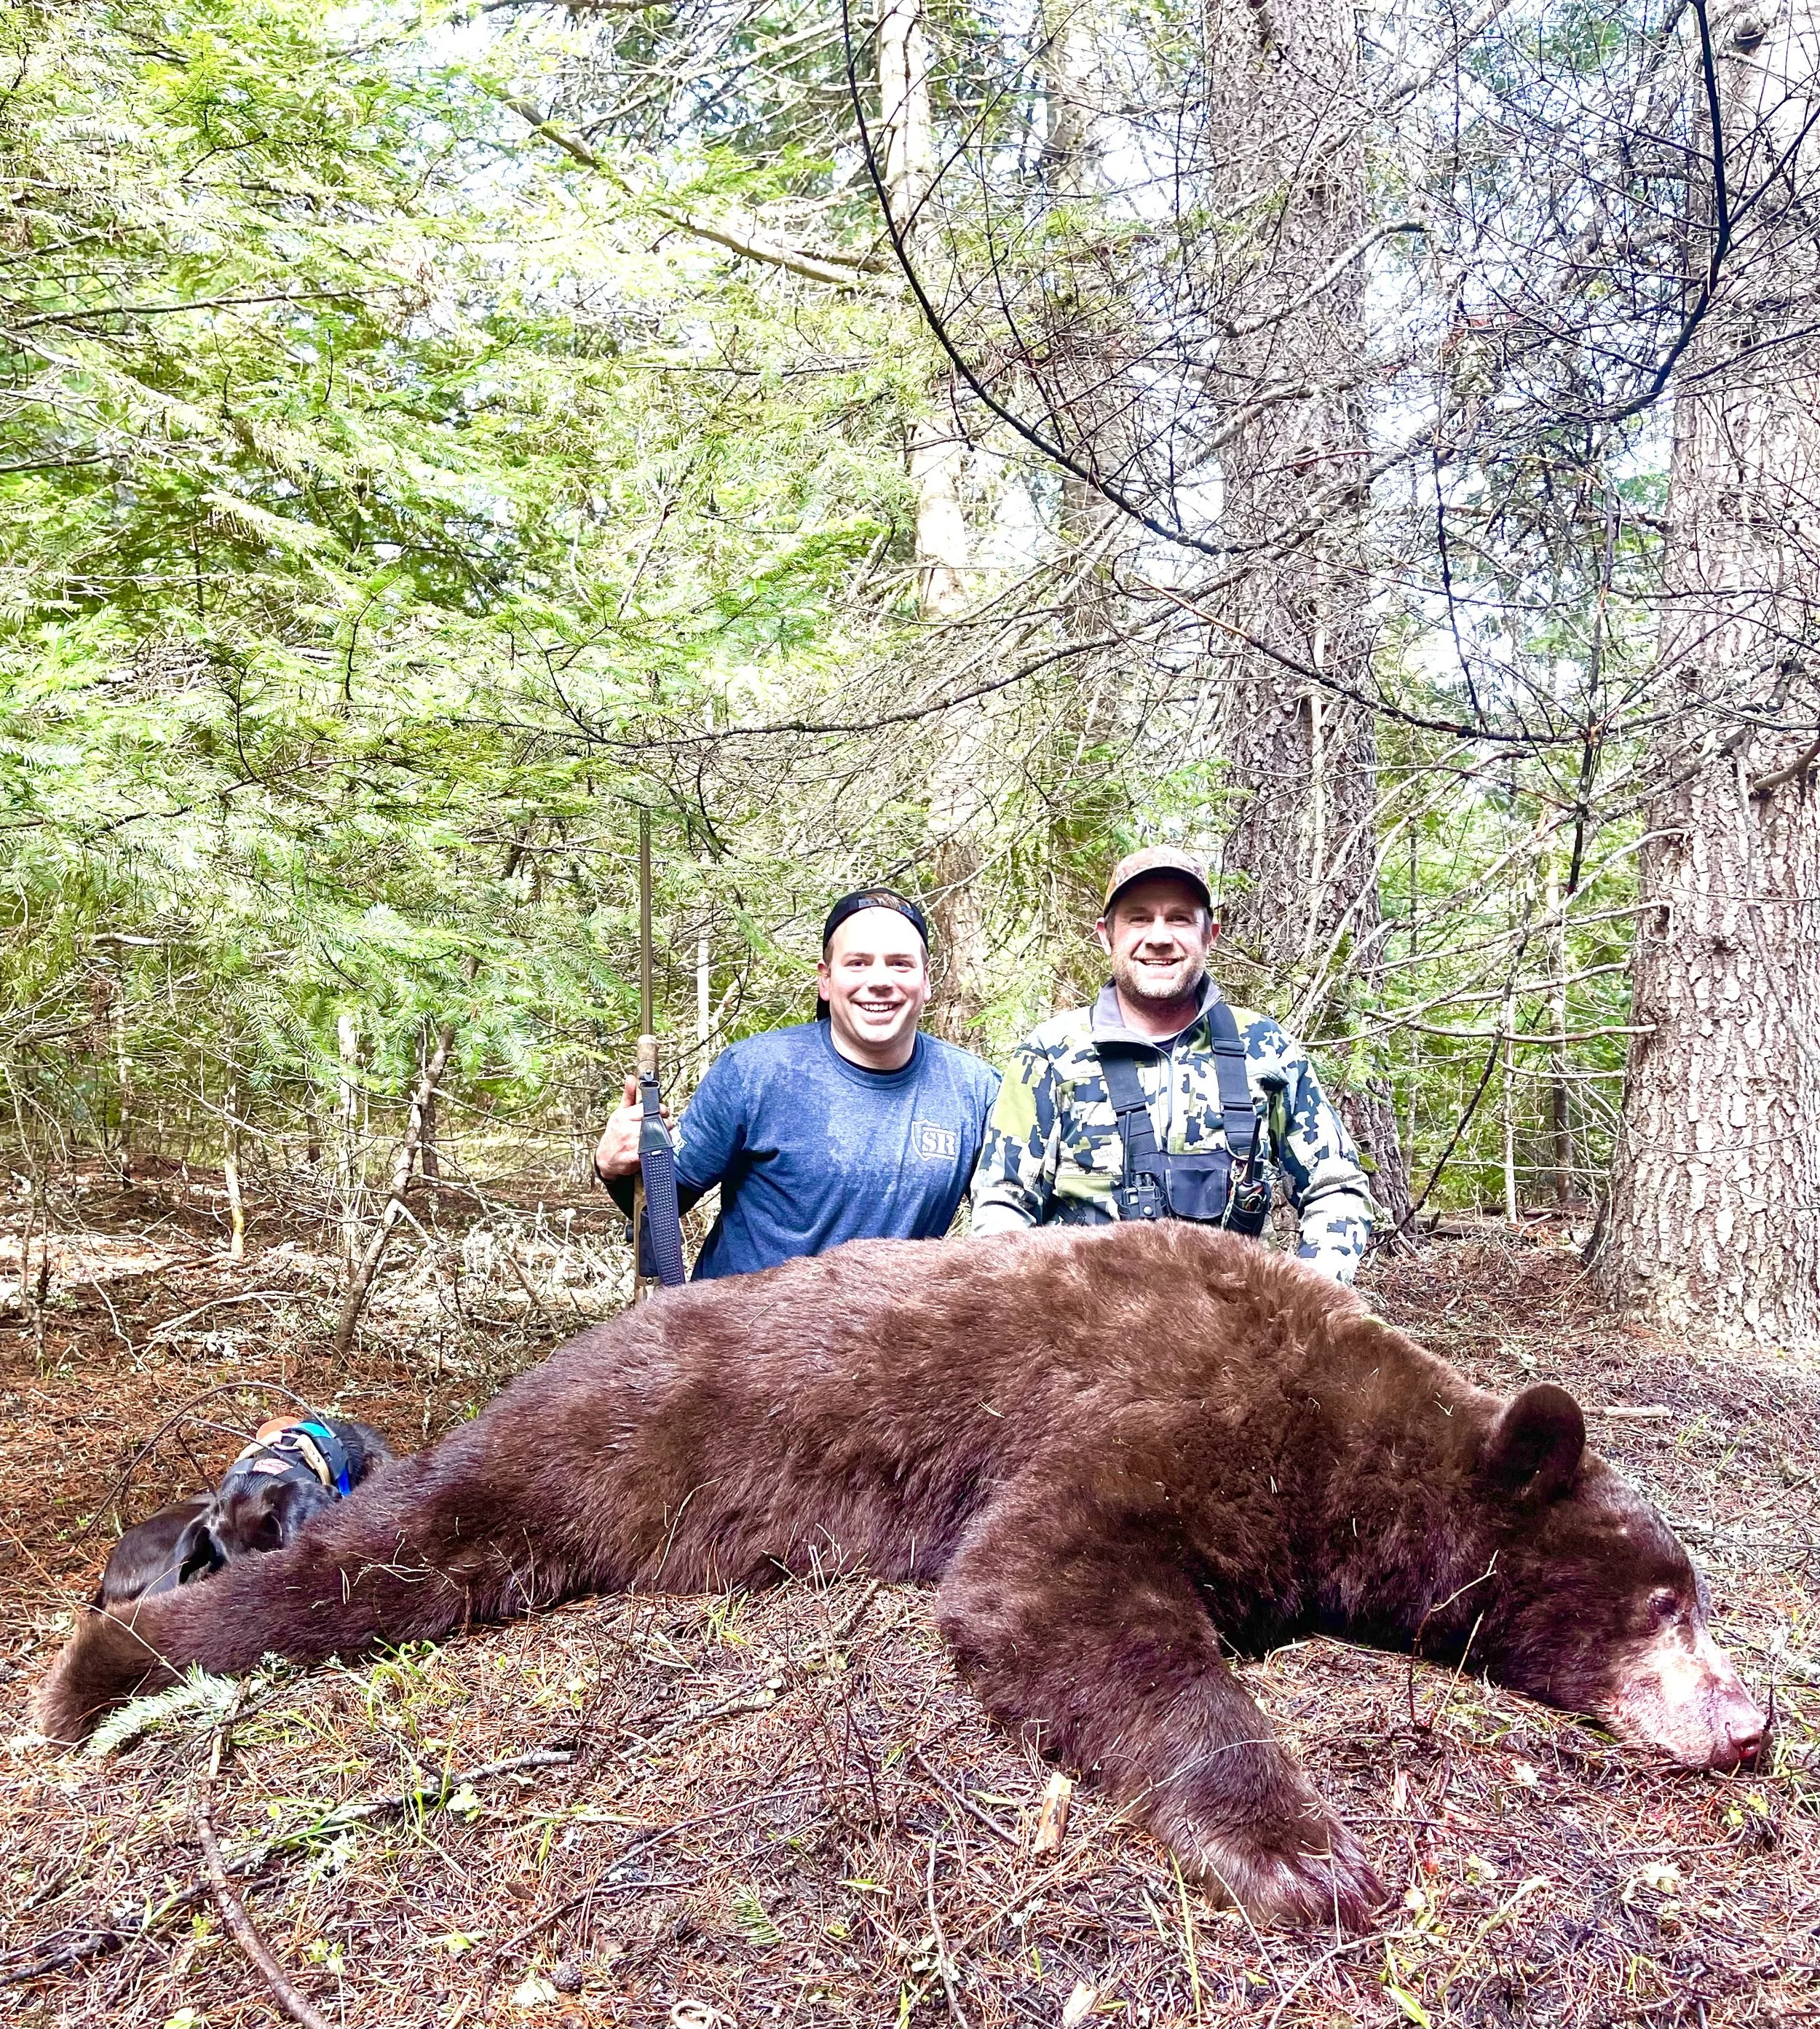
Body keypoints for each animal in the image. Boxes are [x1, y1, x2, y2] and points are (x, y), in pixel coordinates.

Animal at [33, 1222, 1763, 1930]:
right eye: (1666, 1597)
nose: (1748, 1722)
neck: (1351, 1440)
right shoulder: (1150, 1406)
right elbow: (1042, 1588)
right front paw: (1301, 1852)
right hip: (594, 1448)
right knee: (383, 1554)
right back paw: (97, 1667)